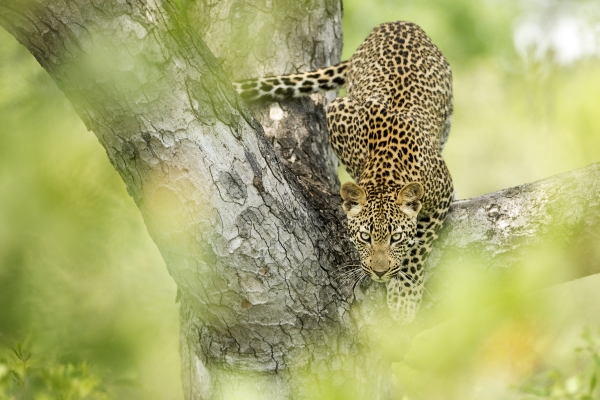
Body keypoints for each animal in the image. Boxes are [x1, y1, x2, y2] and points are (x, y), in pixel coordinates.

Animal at [234, 21, 454, 324]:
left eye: (396, 238)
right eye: (365, 237)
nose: (380, 272)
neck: (385, 169)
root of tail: (397, 23)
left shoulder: (443, 191)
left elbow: (418, 247)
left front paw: (404, 297)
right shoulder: (337, 111)